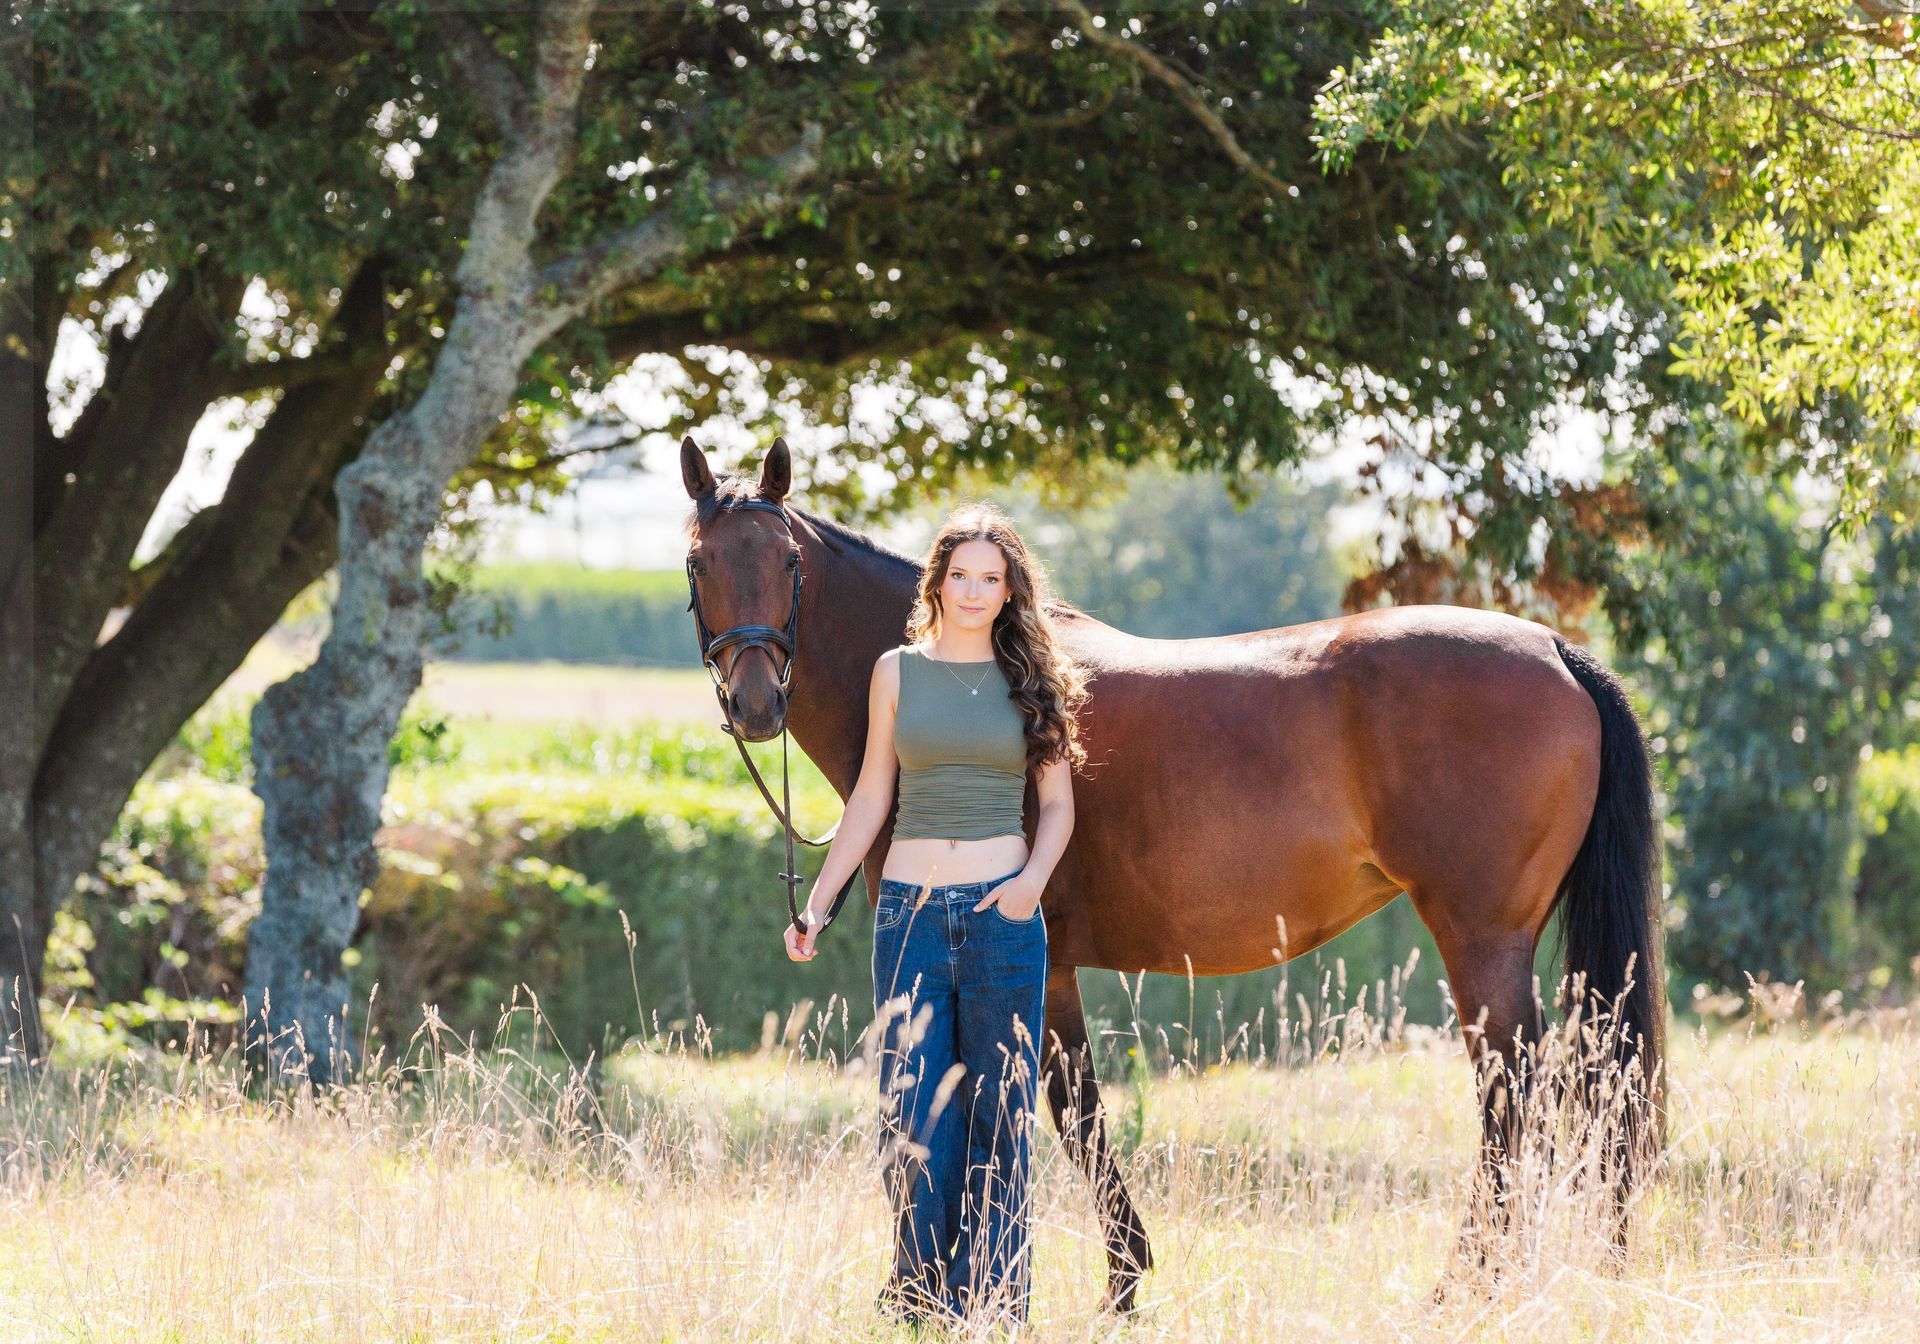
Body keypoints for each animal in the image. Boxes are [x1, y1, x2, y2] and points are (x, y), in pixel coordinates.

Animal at [679, 436, 1667, 1310]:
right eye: (698, 564)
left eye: (788, 563)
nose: (756, 702)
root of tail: (1555, 651)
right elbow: (1054, 1109)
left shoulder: (1016, 961)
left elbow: (1033, 1111)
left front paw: (1054, 1285)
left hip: (1480, 939)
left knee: (1512, 1098)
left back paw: (1468, 1285)